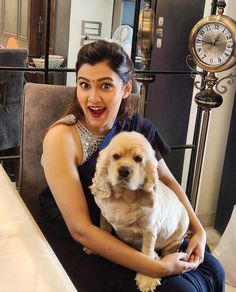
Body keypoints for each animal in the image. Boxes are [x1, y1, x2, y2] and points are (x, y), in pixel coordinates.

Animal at [89, 132, 189, 292]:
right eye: (115, 156)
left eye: (138, 159)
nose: (124, 171)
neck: (123, 197)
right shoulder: (104, 217)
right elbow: (103, 232)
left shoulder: (149, 229)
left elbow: (147, 253)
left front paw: (147, 279)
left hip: (176, 240)